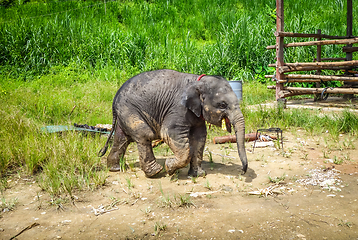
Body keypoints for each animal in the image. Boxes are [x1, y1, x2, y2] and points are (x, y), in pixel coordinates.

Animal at [99, 68, 248, 177]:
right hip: (129, 110)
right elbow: (169, 133)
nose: (242, 171)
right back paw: (155, 172)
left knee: (122, 138)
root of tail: (115, 98)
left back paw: (115, 168)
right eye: (222, 105)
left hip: (124, 114)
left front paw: (198, 175)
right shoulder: (178, 109)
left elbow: (199, 137)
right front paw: (169, 167)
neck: (198, 81)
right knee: (144, 134)